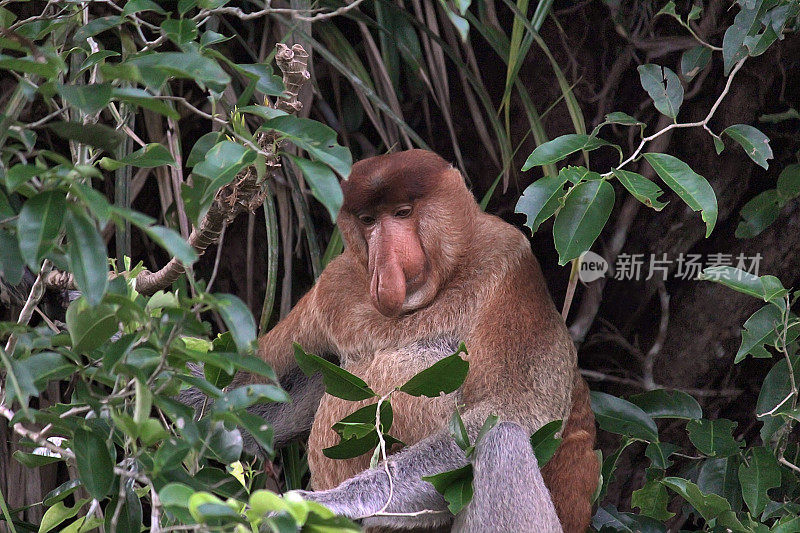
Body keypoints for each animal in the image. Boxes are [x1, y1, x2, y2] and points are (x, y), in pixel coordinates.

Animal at [184, 150, 596, 532]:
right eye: (368, 220)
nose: (384, 267)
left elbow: (510, 410)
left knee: (502, 440)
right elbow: (242, 392)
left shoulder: (510, 268)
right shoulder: (333, 285)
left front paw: (320, 504)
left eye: (402, 213)